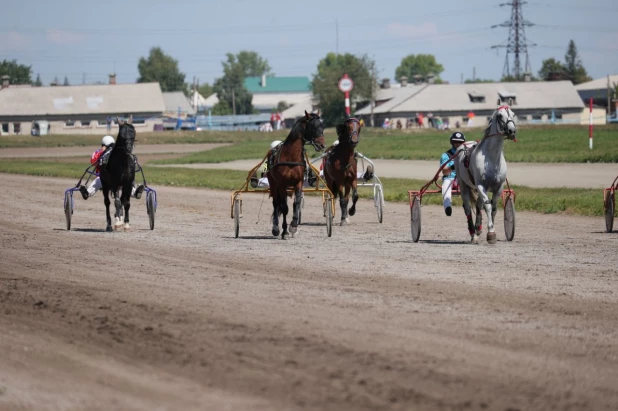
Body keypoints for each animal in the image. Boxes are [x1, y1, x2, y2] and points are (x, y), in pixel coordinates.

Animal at [264, 111, 324, 240]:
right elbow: (284, 207)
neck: (291, 156)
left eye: (322, 126)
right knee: (276, 203)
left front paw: (293, 225)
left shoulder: (298, 182)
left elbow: (296, 203)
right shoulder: (282, 184)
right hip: (273, 183)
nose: (322, 145)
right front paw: (284, 231)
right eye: (314, 127)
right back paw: (276, 228)